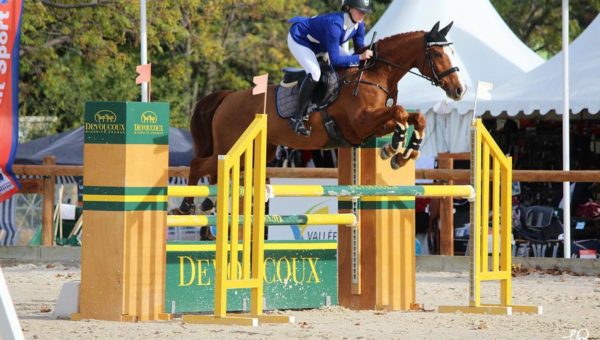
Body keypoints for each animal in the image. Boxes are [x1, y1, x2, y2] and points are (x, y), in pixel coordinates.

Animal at [178, 21, 464, 214]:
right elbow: (400, 112)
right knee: (198, 164)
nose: (459, 90)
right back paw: (187, 204)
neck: (375, 74)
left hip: (260, 151)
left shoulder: (371, 127)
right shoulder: (361, 122)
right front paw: (393, 149)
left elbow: (415, 117)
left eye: (452, 52)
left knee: (216, 171)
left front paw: (405, 153)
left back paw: (207, 202)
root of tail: (227, 98)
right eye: (437, 53)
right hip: (229, 146)